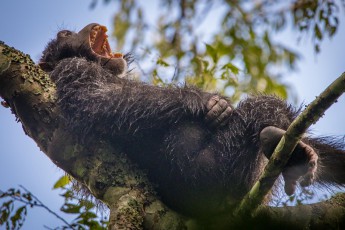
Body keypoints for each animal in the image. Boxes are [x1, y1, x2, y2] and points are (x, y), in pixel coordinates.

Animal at [39, 23, 342, 219]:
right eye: (65, 35)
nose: (82, 29)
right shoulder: (73, 69)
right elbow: (103, 98)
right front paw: (203, 100)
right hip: (213, 177)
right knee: (259, 109)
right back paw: (283, 147)